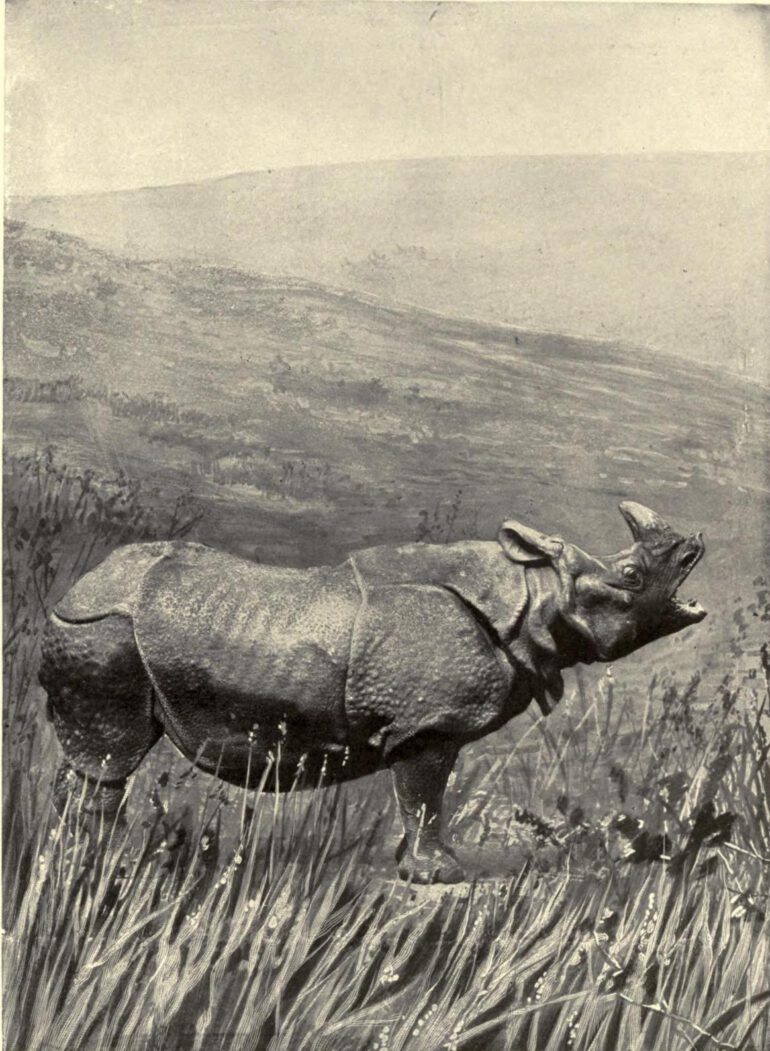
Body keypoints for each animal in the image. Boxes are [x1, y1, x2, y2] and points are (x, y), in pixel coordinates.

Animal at [39, 501, 705, 883]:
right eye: (631, 576)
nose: (694, 545)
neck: (534, 596)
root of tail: (82, 584)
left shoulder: (425, 724)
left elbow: (421, 799)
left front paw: (420, 866)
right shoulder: (429, 723)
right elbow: (425, 795)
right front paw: (441, 875)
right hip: (103, 629)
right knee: (110, 753)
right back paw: (95, 864)